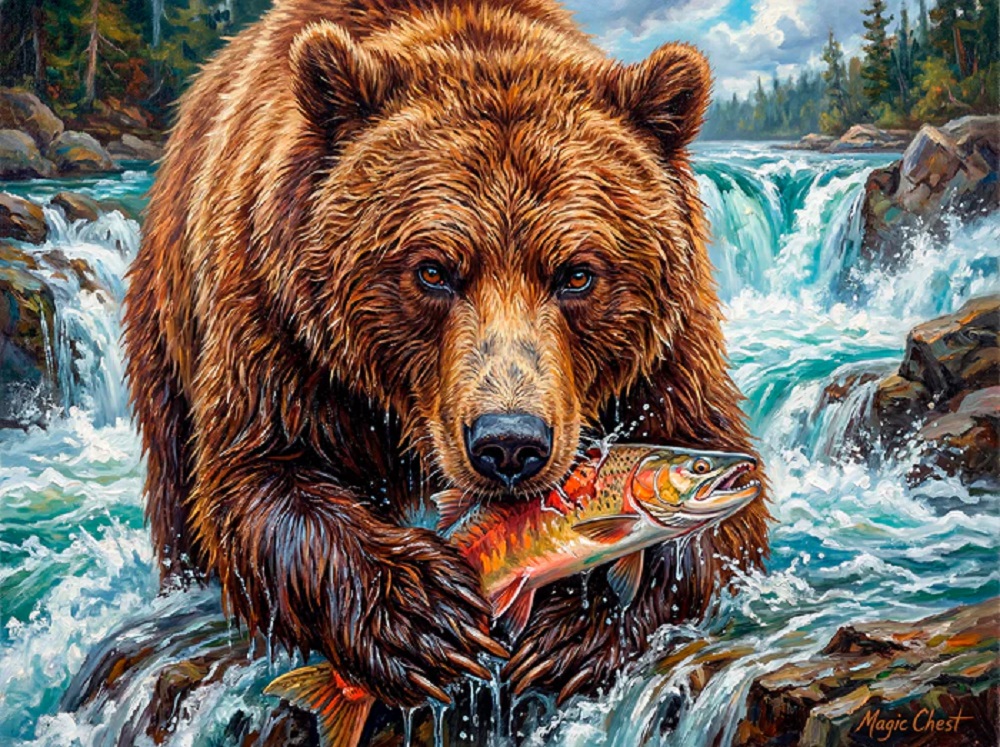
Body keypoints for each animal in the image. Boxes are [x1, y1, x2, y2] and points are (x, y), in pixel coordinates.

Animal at [123, 0, 770, 712]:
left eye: (577, 273)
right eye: (432, 270)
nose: (509, 443)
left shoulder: (666, 351)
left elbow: (718, 494)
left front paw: (570, 623)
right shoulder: (280, 321)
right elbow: (258, 480)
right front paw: (422, 611)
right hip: (167, 329)